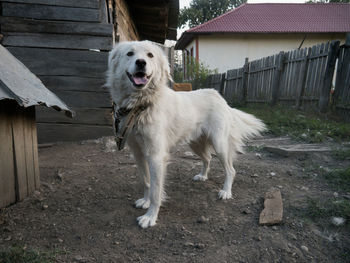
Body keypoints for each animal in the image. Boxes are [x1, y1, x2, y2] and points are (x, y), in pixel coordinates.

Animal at [106, 40, 266, 229]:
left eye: (150, 55)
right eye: (130, 54)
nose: (141, 63)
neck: (142, 104)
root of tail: (219, 97)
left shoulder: (156, 156)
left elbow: (155, 191)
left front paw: (150, 216)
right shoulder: (138, 153)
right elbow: (146, 181)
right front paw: (145, 201)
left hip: (219, 144)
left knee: (231, 170)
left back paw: (226, 191)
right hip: (195, 144)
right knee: (208, 158)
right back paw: (203, 176)